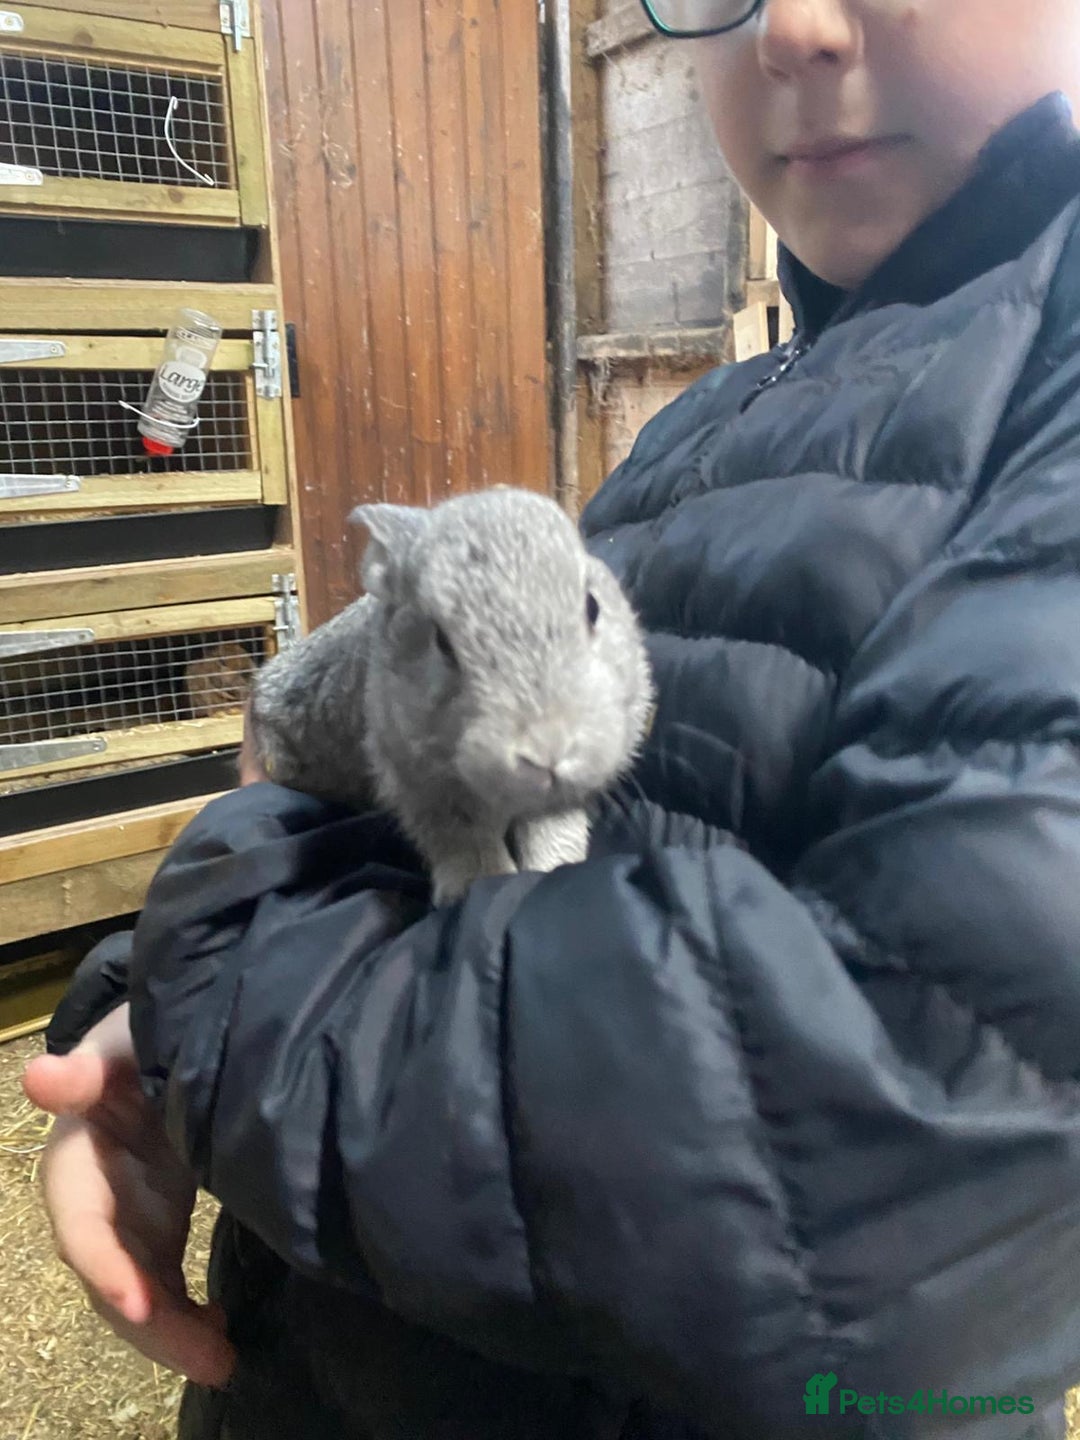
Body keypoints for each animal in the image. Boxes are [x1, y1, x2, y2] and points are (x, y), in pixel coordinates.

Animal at [249, 486, 655, 904]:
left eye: (592, 607)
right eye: (441, 641)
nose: (548, 751)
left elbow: (551, 830)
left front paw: (553, 869)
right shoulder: (421, 785)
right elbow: (464, 839)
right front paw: (476, 884)